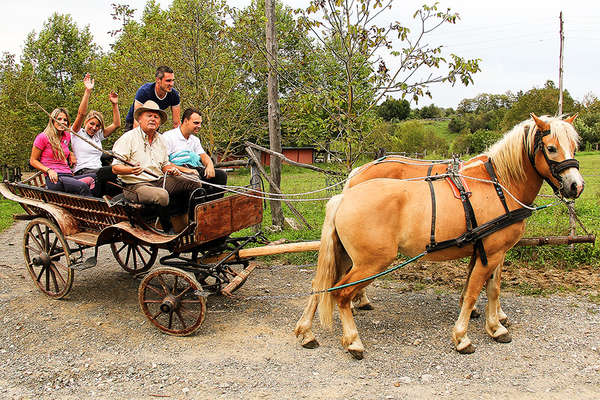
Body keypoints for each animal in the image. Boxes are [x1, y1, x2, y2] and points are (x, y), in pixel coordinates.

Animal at [298, 113, 584, 360]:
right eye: (551, 148)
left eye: (574, 145)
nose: (576, 186)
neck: (499, 186)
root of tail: (344, 196)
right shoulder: (491, 253)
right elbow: (473, 293)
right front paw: (462, 337)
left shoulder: (493, 252)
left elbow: (492, 289)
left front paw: (496, 326)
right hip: (372, 262)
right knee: (340, 294)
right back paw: (353, 341)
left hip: (347, 257)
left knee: (321, 284)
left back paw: (307, 332)